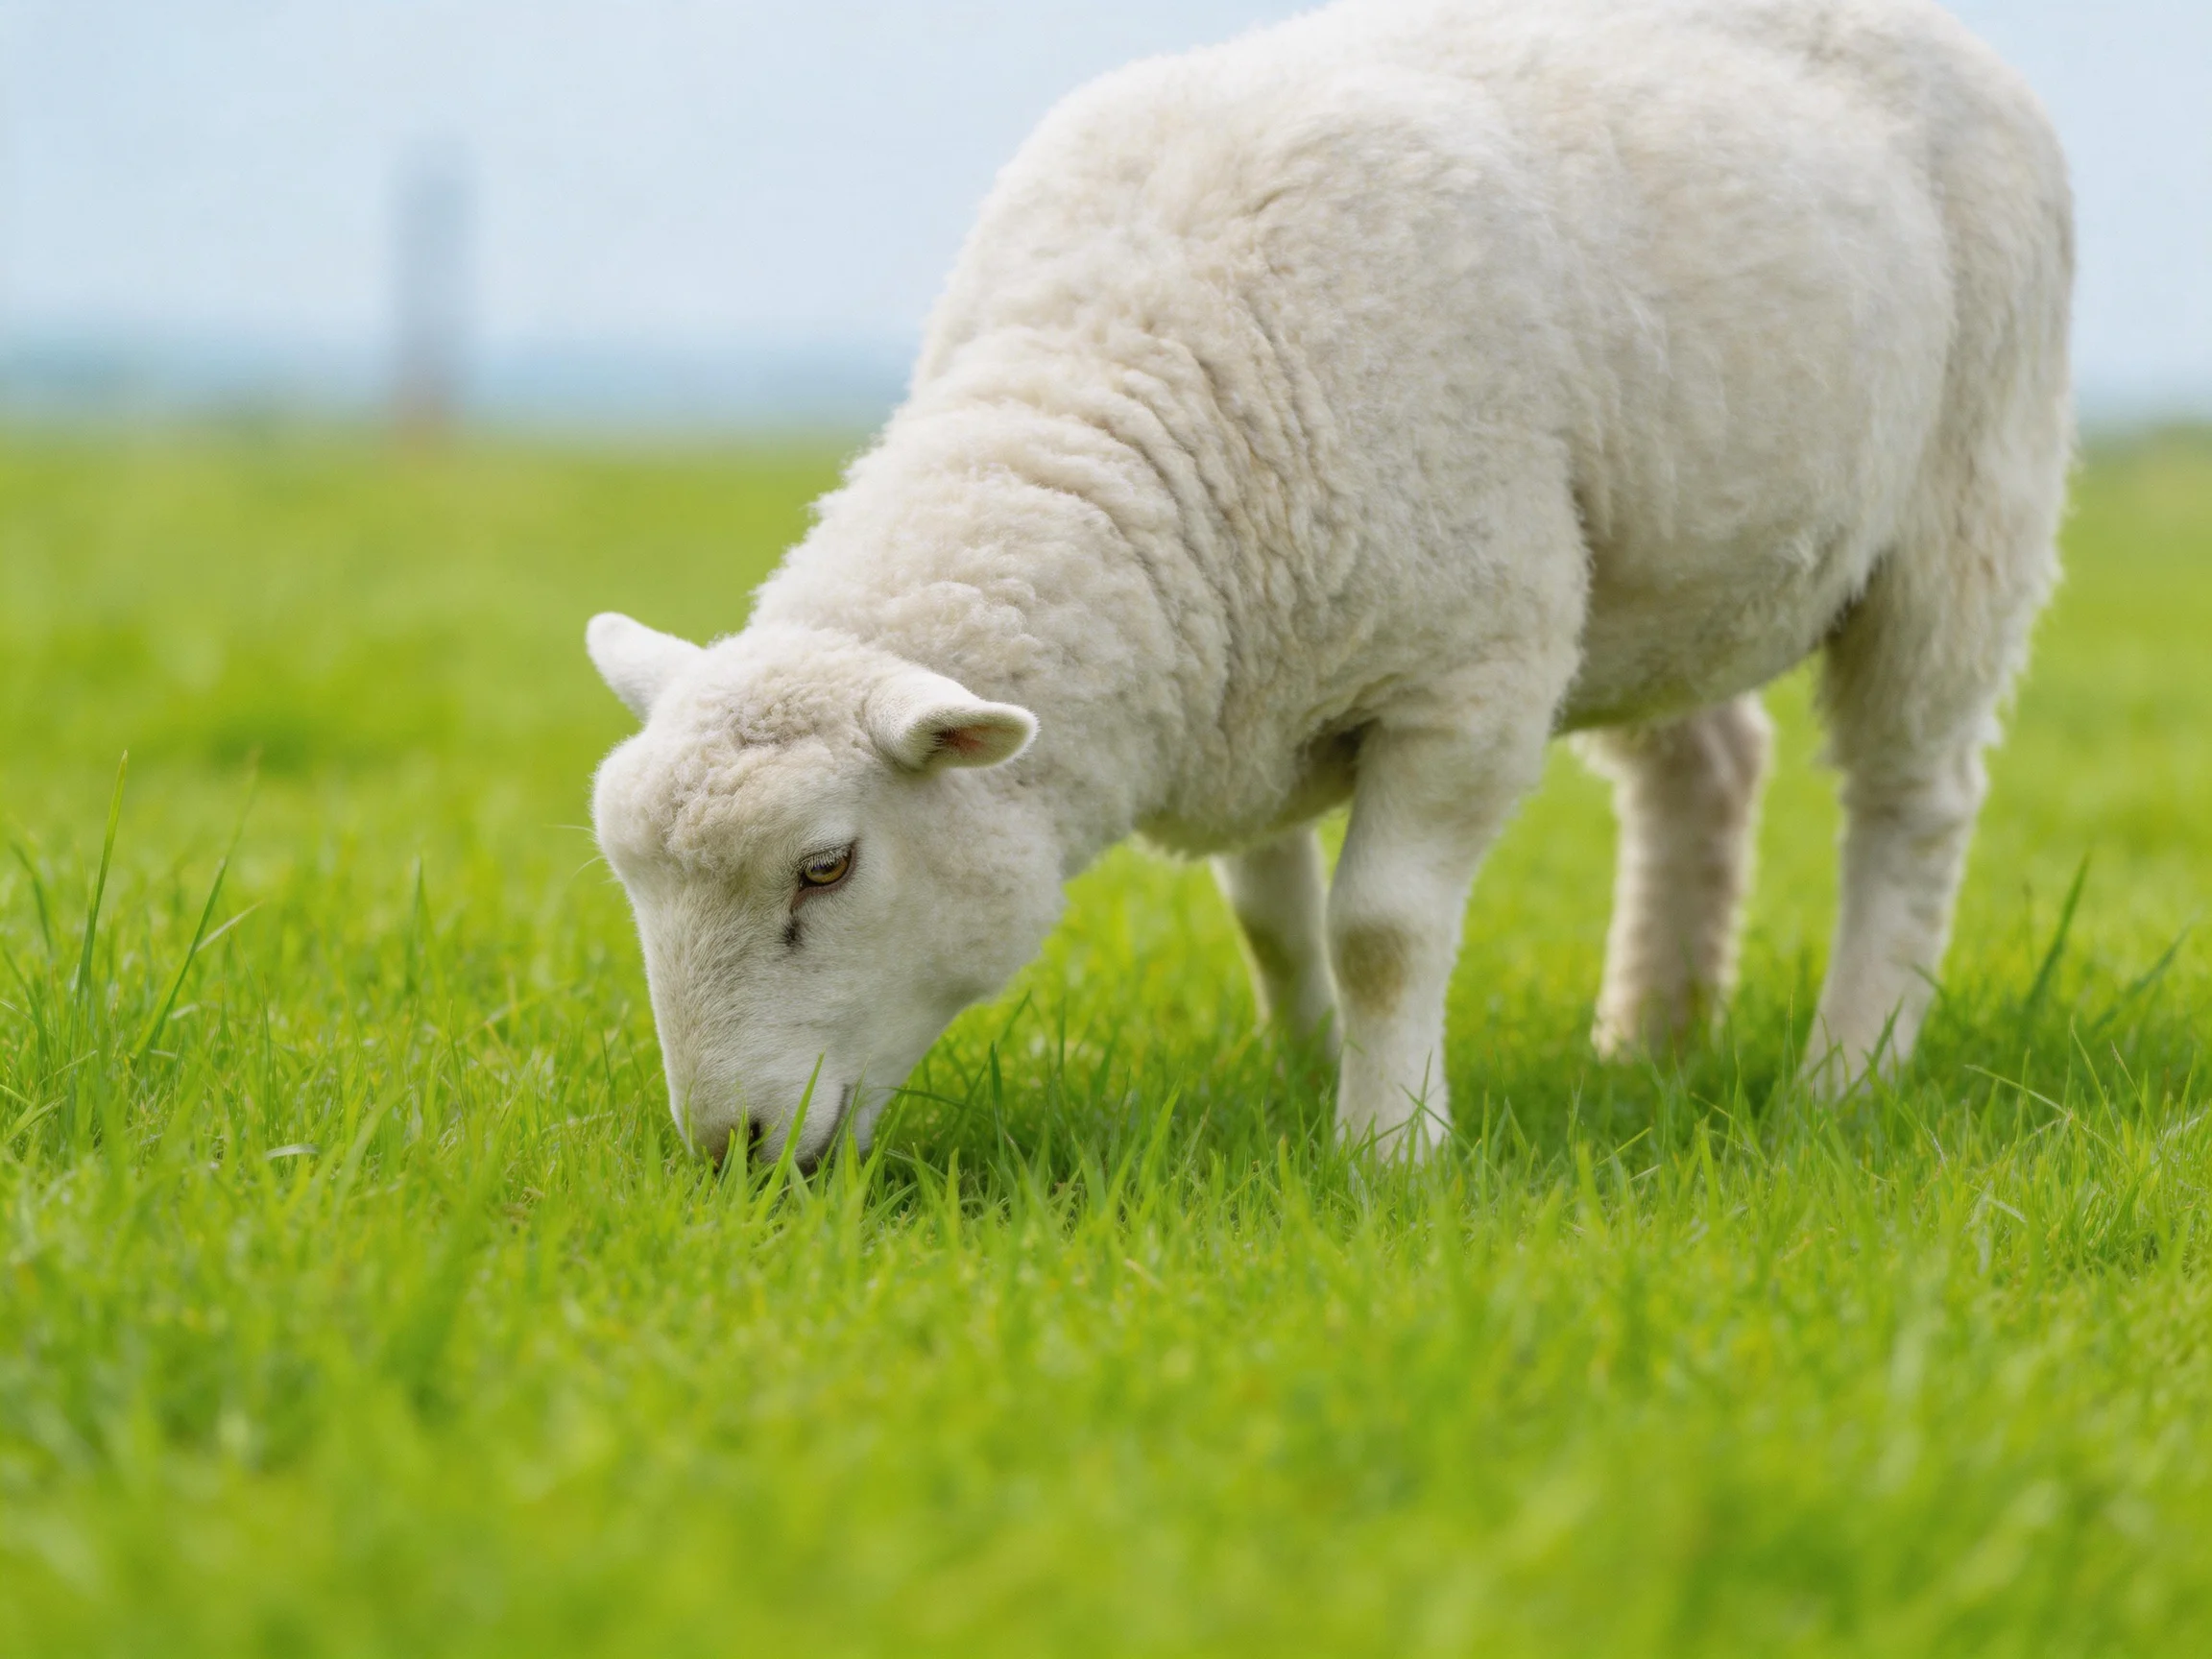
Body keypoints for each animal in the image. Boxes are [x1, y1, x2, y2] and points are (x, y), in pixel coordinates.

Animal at [588, 0, 2073, 1165]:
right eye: (634, 884)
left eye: (827, 868)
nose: (731, 1151)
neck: (1126, 357)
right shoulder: (1240, 671)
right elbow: (1269, 917)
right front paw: (1302, 1076)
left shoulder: (1466, 676)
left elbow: (1382, 931)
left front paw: (1387, 1148)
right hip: (1664, 564)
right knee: (1704, 774)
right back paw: (1648, 1043)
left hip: (1966, 506)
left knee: (1913, 802)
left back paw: (1848, 1073)